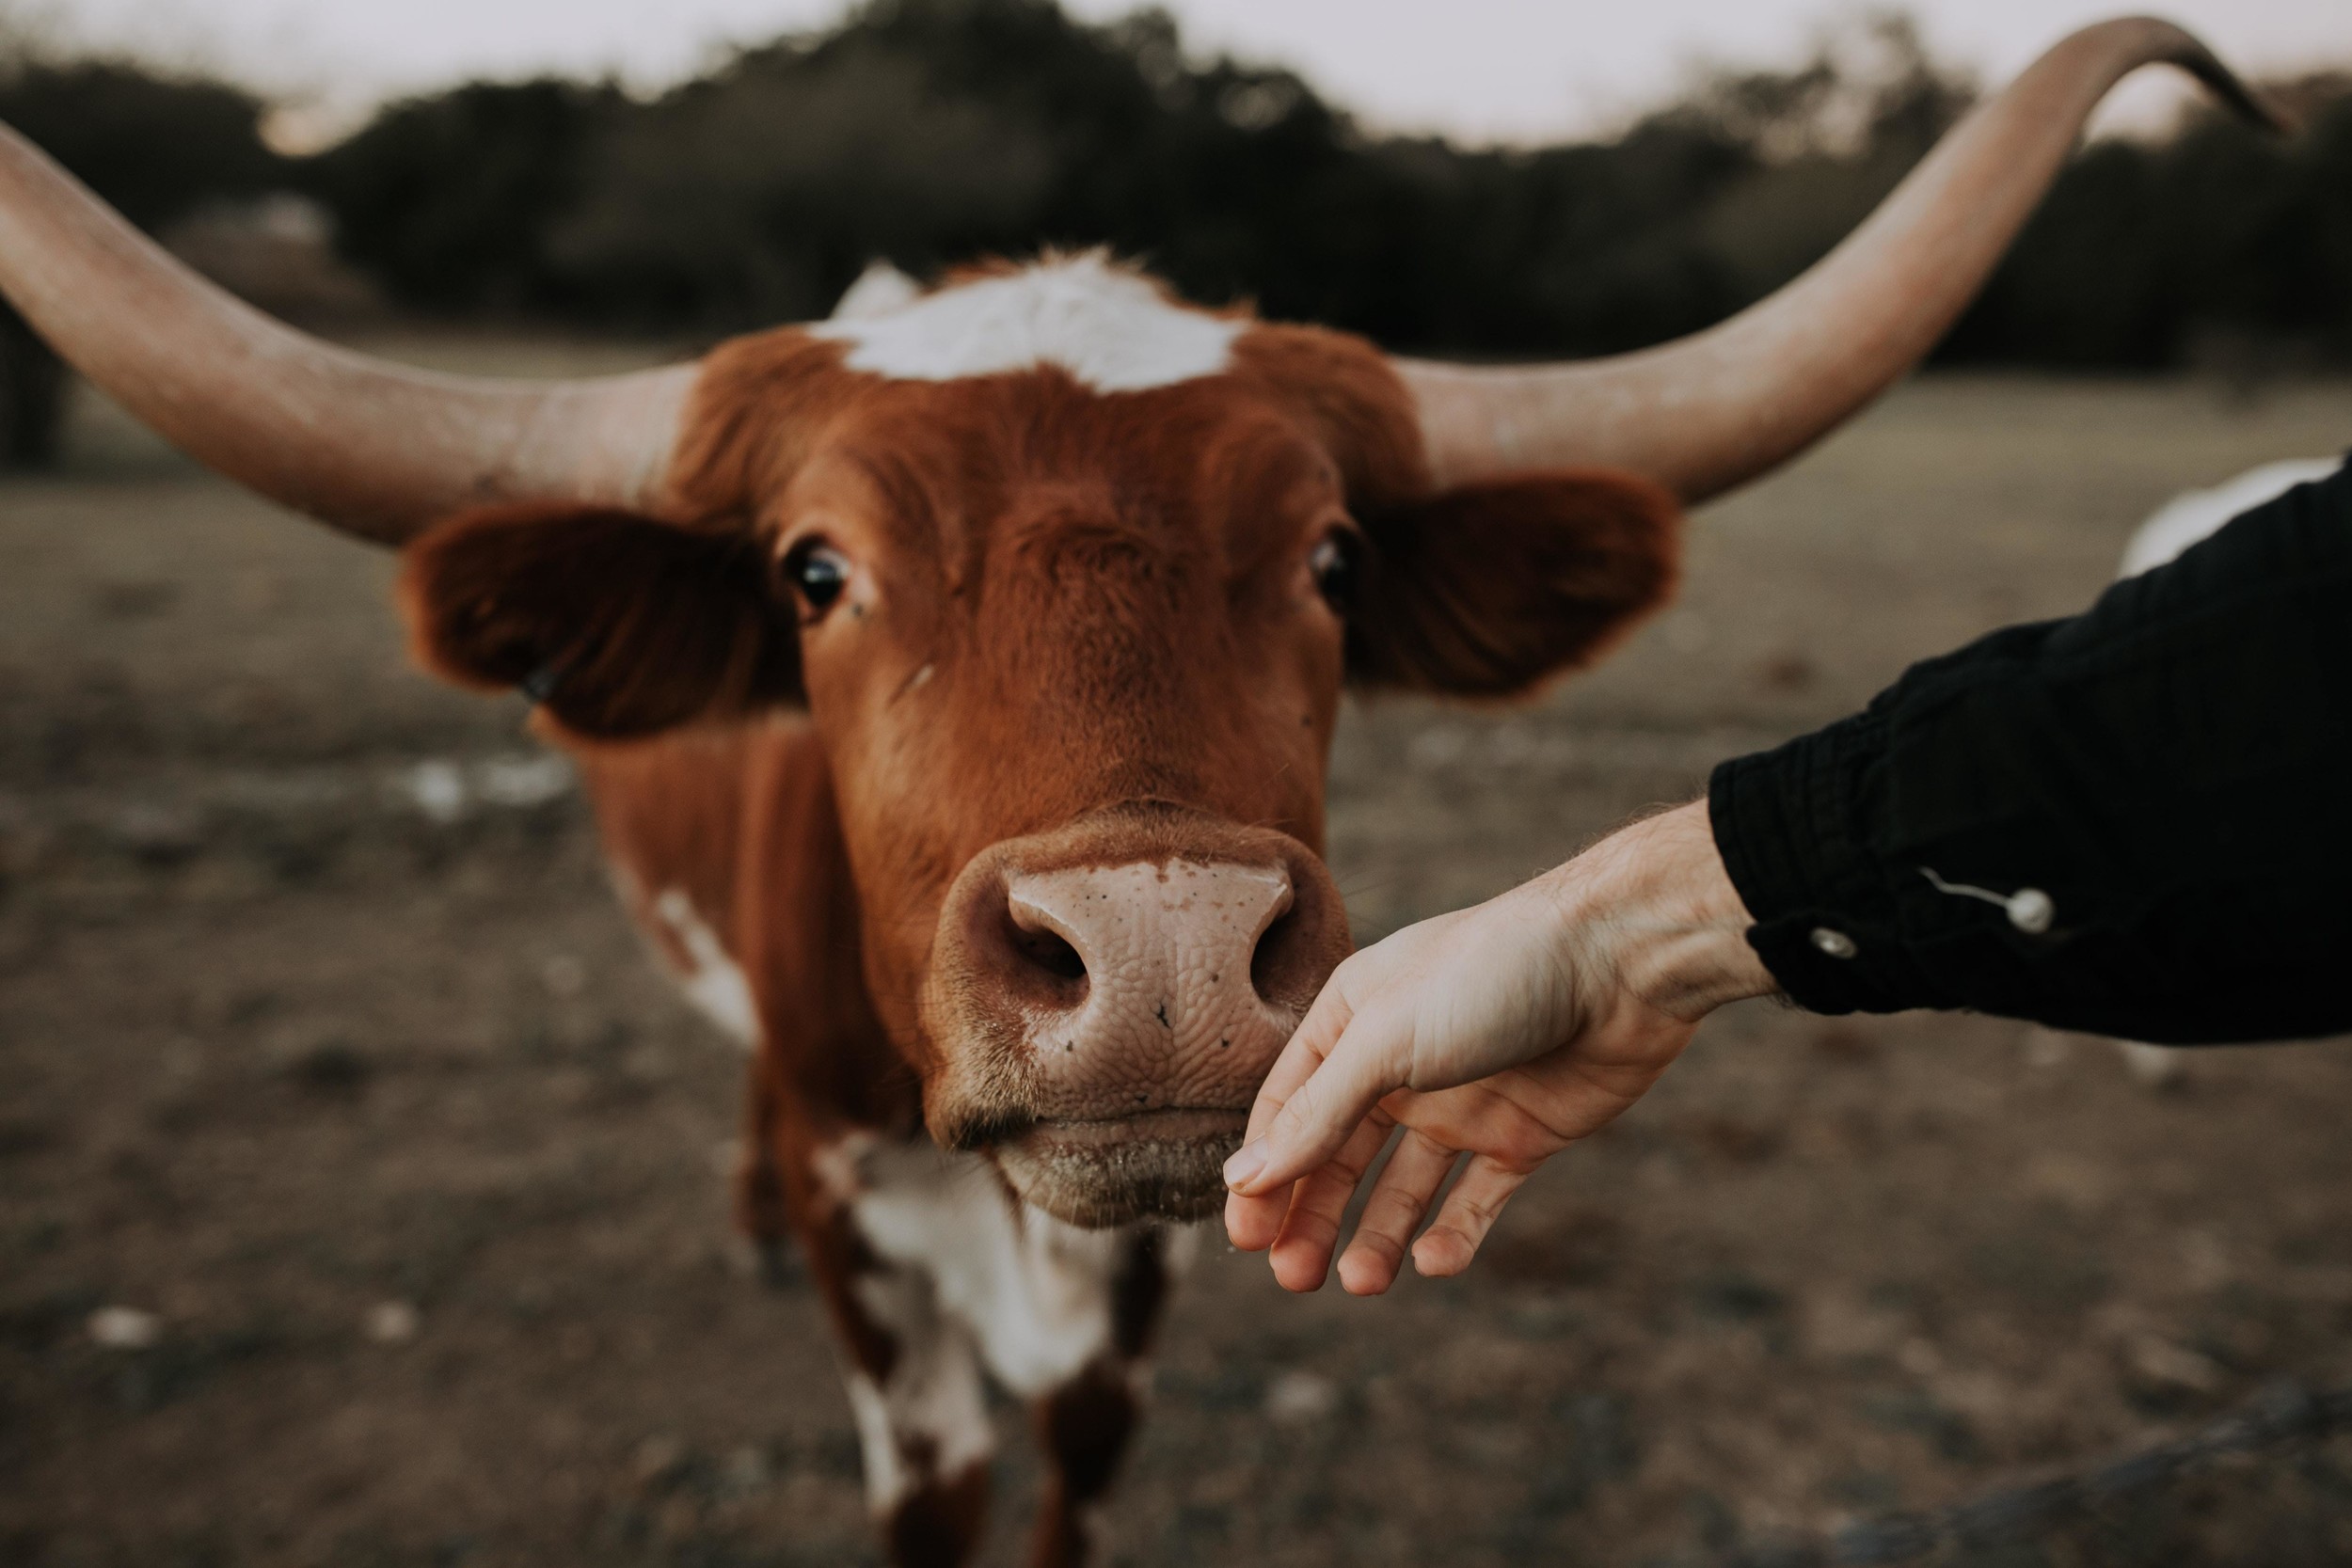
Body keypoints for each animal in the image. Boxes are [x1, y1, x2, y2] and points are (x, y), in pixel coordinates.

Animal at [0, 20, 2274, 1566]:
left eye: (1336, 557)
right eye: (811, 572)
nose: (1165, 949)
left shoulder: (1155, 1267)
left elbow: (1080, 1463)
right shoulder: (866, 1233)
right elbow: (925, 1480)